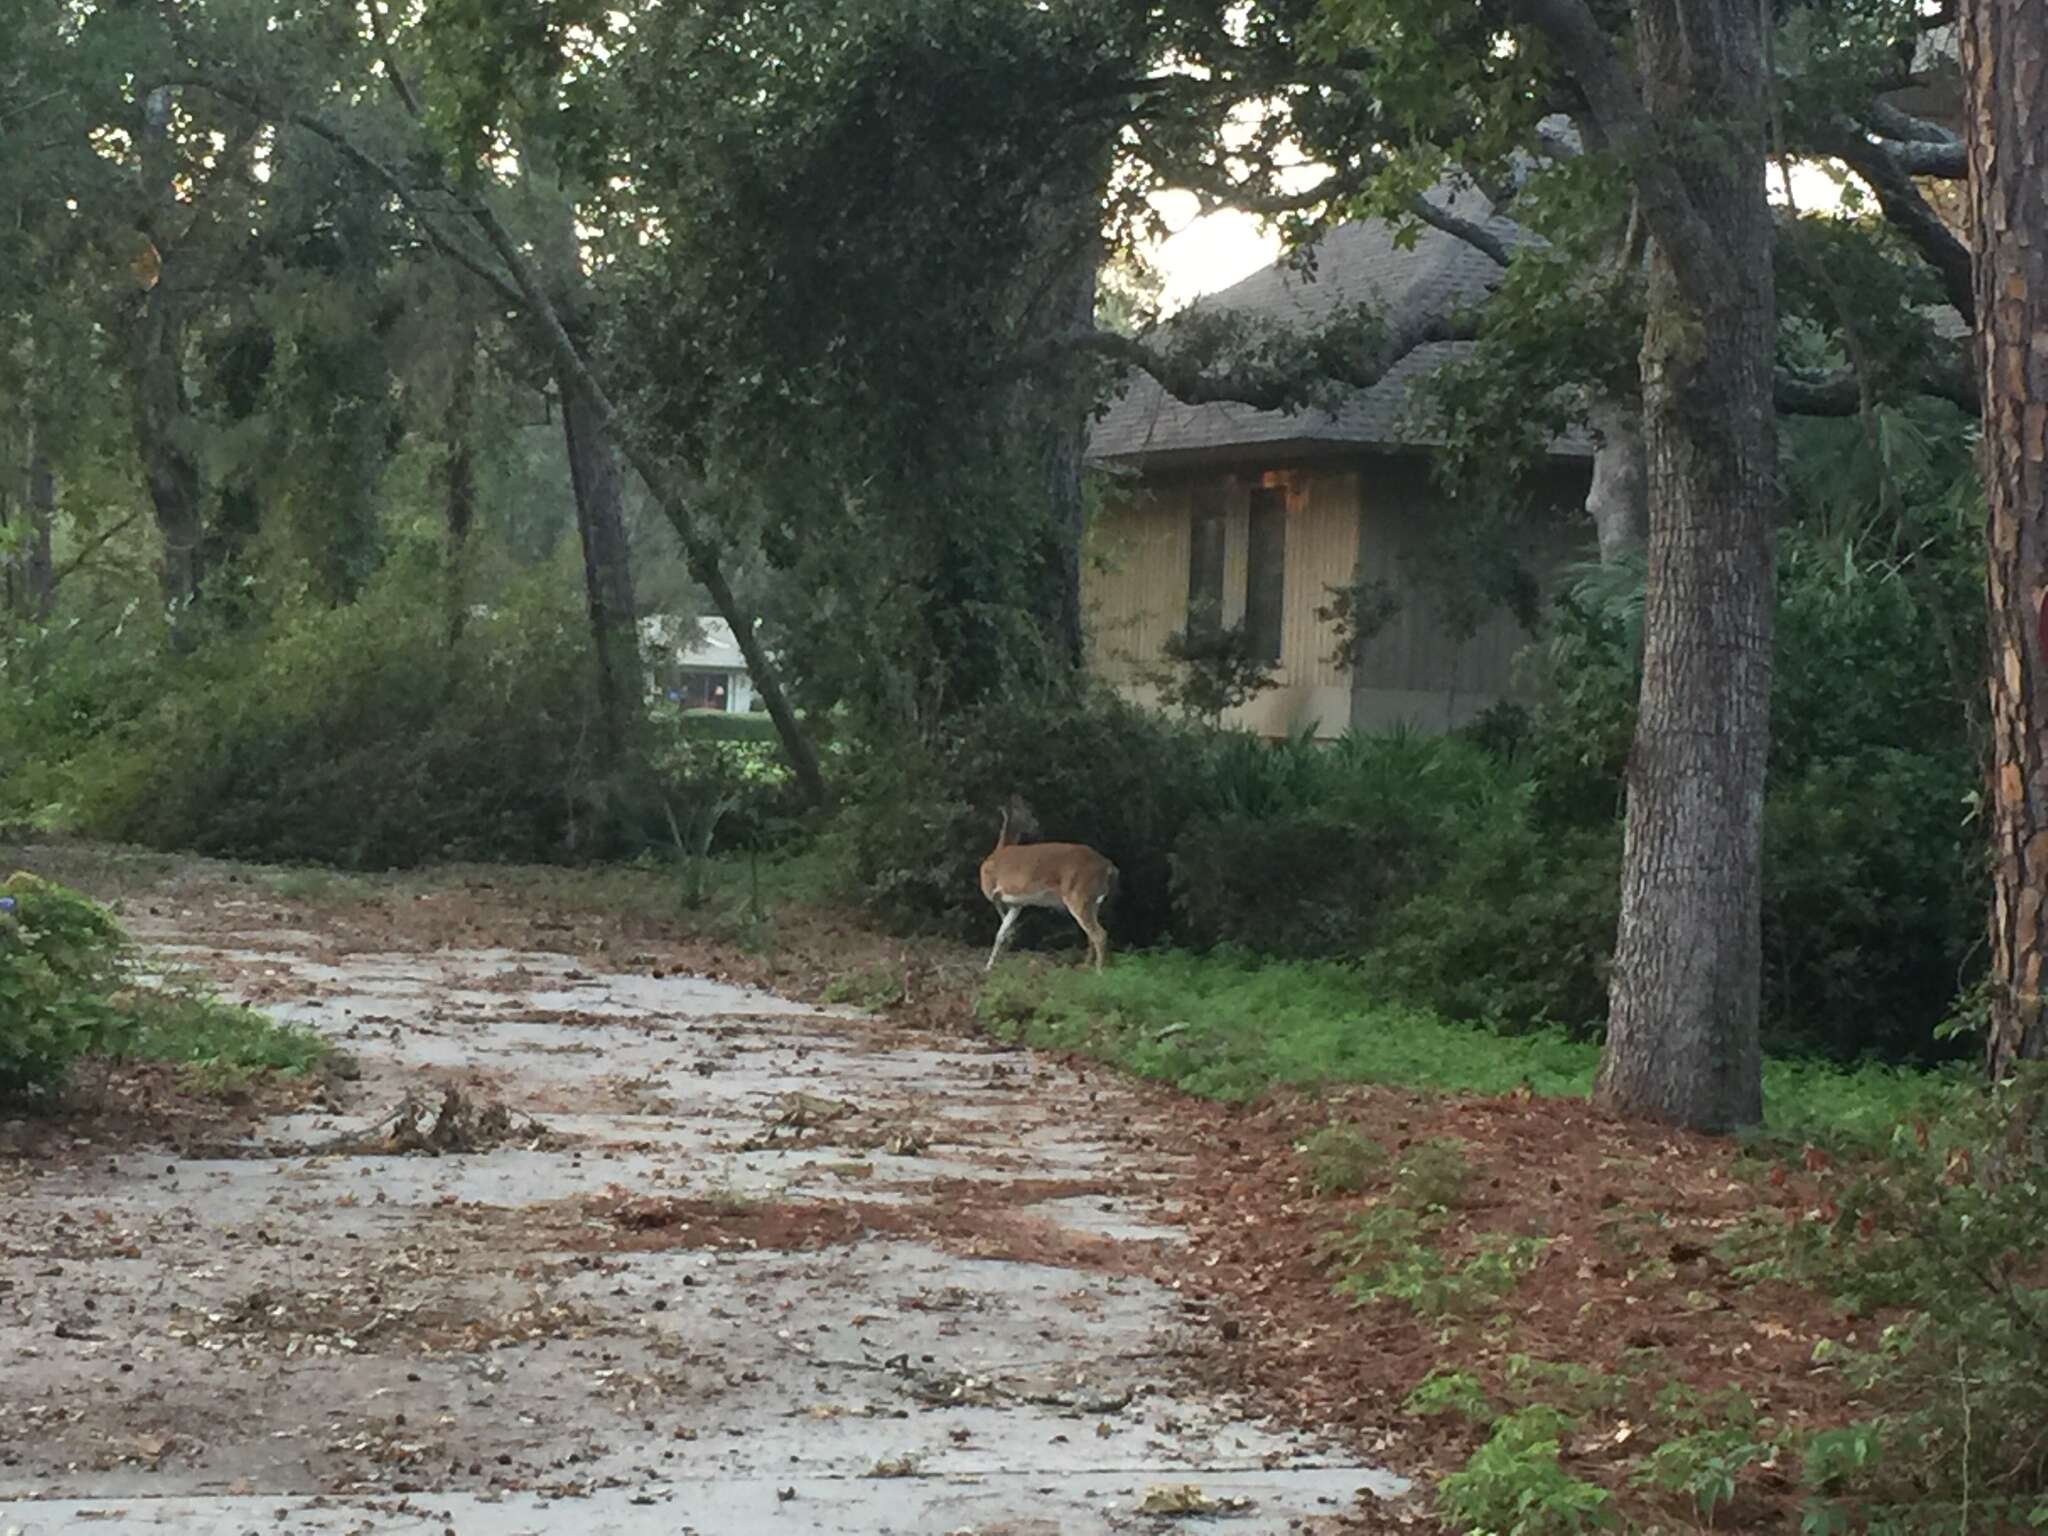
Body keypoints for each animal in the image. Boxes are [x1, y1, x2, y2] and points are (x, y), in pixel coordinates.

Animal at [978, 806, 1122, 974]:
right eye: (1027, 812)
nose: (1037, 826)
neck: (1000, 849)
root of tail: (1109, 867)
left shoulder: (993, 893)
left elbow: (1002, 928)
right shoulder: (1016, 904)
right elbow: (1001, 931)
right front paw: (989, 966)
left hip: (1077, 896)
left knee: (1099, 934)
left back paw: (1098, 972)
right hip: (1093, 901)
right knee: (1091, 934)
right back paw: (1086, 966)